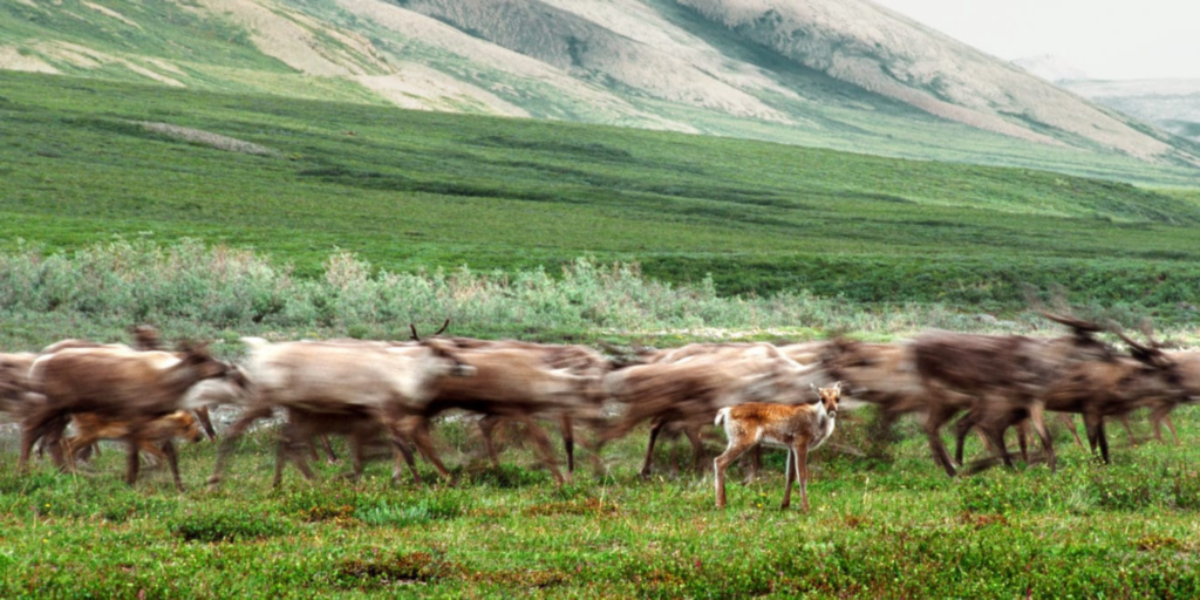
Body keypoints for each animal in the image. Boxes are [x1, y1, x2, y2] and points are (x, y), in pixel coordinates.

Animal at [710, 381, 844, 508]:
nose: (832, 411)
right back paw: (719, 503)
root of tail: (725, 412)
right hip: (741, 438)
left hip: (735, 439)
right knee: (719, 461)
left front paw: (785, 505)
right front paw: (805, 507)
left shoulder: (791, 446)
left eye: (838, 398)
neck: (817, 421)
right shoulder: (801, 441)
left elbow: (790, 475)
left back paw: (724, 501)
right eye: (822, 399)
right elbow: (802, 476)